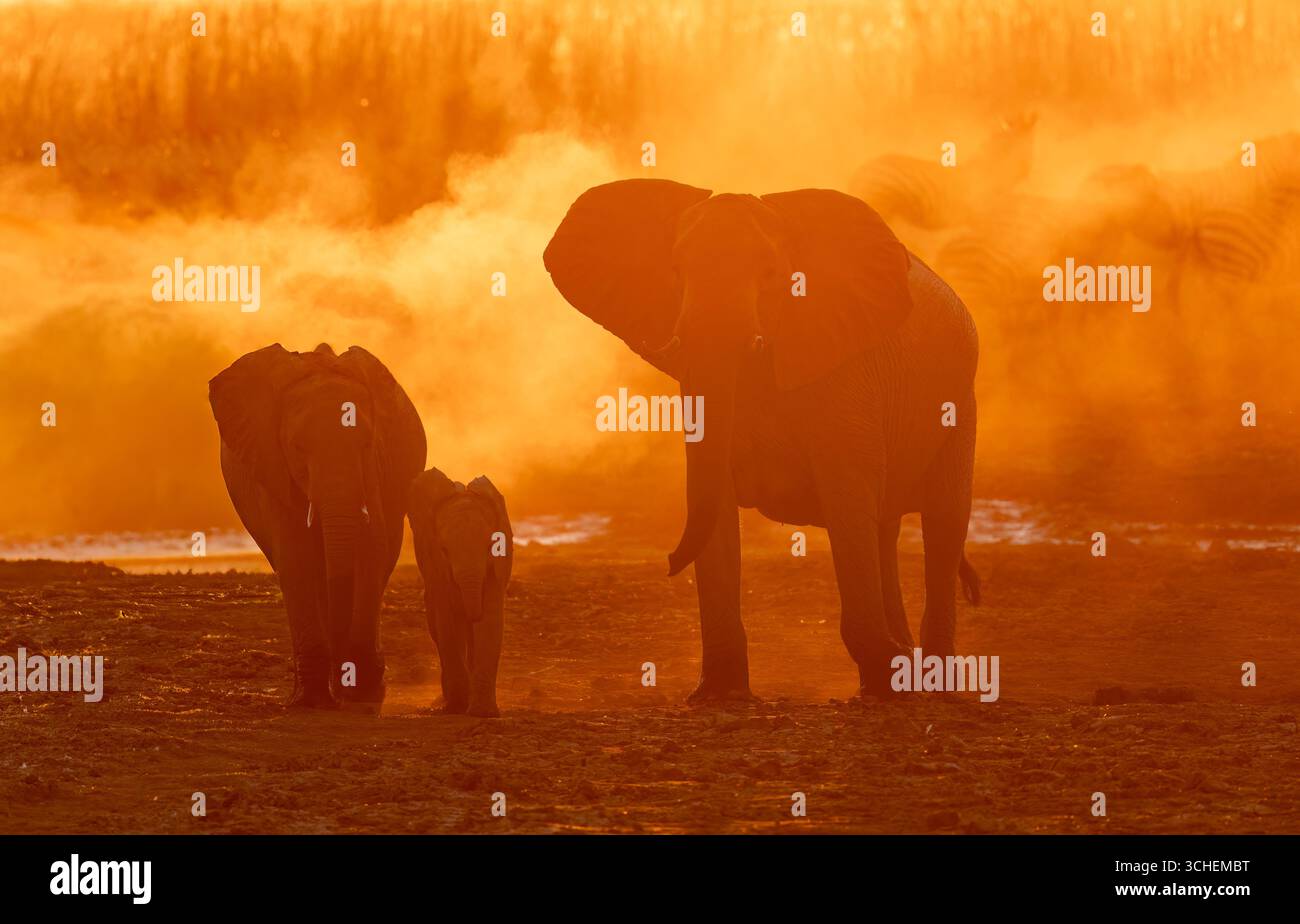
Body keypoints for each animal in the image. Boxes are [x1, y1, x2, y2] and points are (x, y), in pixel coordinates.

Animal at [209, 343, 426, 712]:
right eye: (298, 449)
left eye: (366, 444)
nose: (343, 684)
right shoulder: (272, 468)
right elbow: (295, 558)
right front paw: (310, 700)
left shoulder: (374, 468)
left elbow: (371, 548)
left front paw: (362, 693)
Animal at [407, 468, 512, 718]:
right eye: (444, 550)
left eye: (492, 546)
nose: (472, 613)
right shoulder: (436, 567)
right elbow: (447, 622)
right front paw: (458, 706)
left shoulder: (497, 566)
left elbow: (492, 620)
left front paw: (483, 713)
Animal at [543, 180, 981, 702]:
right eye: (676, 272)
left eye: (772, 275)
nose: (667, 562)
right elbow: (715, 503)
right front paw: (718, 696)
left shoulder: (843, 370)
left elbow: (847, 500)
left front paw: (891, 678)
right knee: (885, 529)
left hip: (961, 403)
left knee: (943, 521)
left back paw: (929, 685)